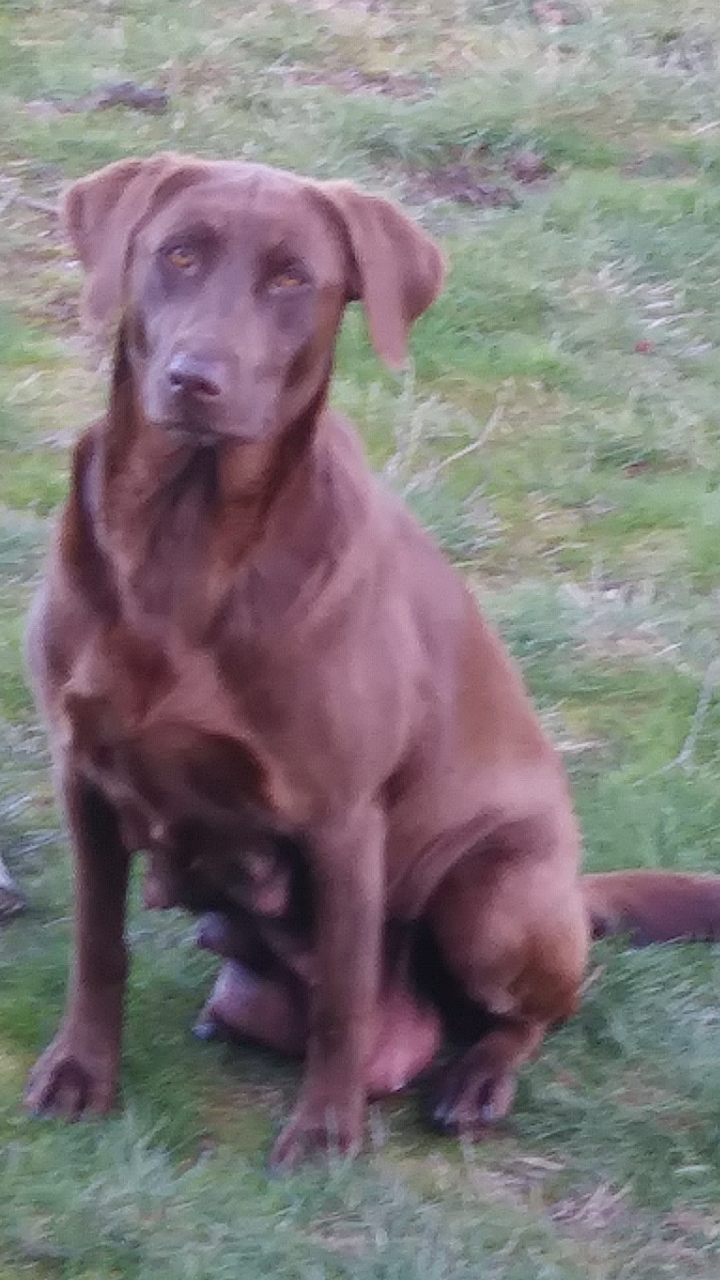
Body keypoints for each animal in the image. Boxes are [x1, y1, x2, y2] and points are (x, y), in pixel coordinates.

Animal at [25, 152, 717, 1172]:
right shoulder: (83, 776)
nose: (196, 379)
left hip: (494, 895)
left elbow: (345, 1001)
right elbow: (96, 946)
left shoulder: (342, 818)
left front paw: (323, 1132)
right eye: (178, 254)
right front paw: (80, 1074)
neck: (184, 544)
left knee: (542, 1008)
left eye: (292, 279)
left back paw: (476, 1081)